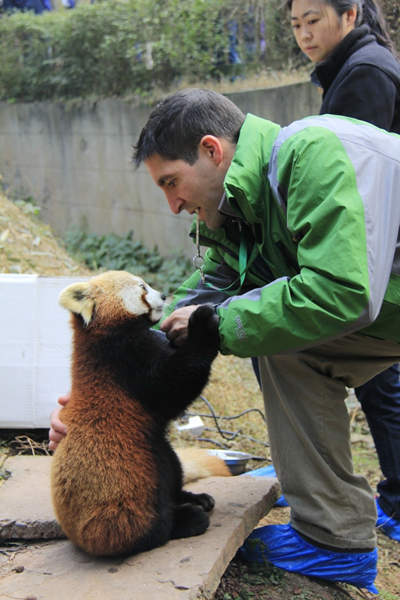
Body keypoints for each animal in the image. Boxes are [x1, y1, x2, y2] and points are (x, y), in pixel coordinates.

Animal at [51, 272, 230, 556]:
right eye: (143, 287)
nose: (165, 296)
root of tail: (74, 533)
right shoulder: (127, 366)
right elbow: (174, 385)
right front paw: (202, 322)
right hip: (125, 493)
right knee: (147, 525)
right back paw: (186, 518)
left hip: (161, 452)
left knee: (172, 468)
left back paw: (194, 499)